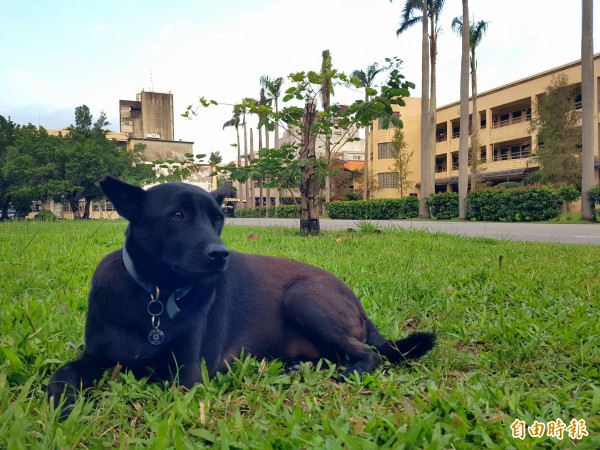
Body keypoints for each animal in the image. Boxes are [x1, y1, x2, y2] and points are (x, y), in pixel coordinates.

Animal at [49, 175, 436, 418]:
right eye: (177, 215)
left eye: (219, 220)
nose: (221, 255)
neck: (156, 295)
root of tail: (358, 305)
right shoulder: (94, 356)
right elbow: (61, 374)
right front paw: (64, 408)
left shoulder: (188, 375)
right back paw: (294, 366)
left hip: (303, 297)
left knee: (370, 354)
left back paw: (346, 372)